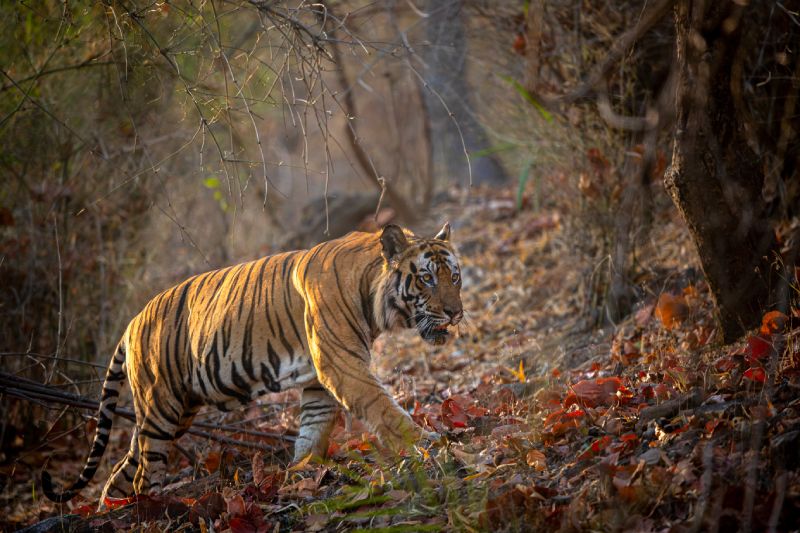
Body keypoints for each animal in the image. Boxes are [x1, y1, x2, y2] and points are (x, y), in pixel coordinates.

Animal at [42, 222, 462, 504]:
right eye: (426, 278)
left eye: (455, 277)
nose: (456, 313)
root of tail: (132, 322)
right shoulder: (342, 366)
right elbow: (385, 409)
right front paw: (427, 444)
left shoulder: (319, 379)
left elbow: (313, 430)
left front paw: (302, 473)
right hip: (161, 409)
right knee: (143, 475)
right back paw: (155, 509)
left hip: (167, 416)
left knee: (121, 471)